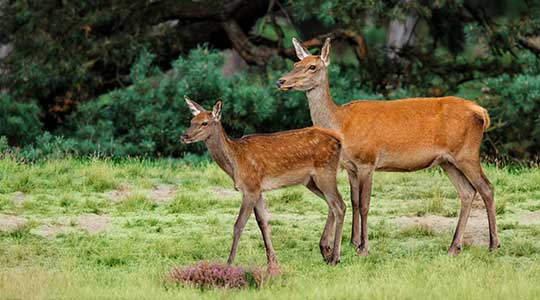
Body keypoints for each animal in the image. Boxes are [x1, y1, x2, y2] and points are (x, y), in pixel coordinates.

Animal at [180, 96, 346, 270]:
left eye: (204, 123)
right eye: (191, 121)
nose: (183, 136)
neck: (235, 162)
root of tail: (339, 141)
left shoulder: (251, 187)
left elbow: (238, 225)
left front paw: (229, 263)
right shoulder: (258, 190)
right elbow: (262, 222)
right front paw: (272, 261)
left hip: (325, 172)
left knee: (339, 205)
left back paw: (335, 257)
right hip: (310, 181)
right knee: (332, 204)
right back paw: (326, 251)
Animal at [278, 38, 502, 258]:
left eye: (312, 66)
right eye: (295, 64)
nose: (281, 81)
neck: (341, 124)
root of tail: (482, 113)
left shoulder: (367, 160)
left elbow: (365, 204)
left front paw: (364, 248)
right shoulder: (351, 166)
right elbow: (355, 201)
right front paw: (353, 242)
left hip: (467, 153)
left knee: (486, 188)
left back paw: (493, 245)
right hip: (448, 161)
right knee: (467, 192)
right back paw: (454, 247)